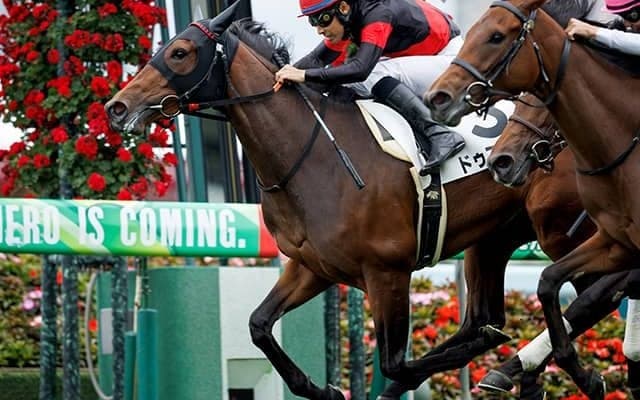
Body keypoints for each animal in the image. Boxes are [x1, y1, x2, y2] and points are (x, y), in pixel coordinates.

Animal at [105, 4, 600, 399]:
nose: (116, 107)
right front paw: (321, 388)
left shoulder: (388, 272)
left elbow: (395, 364)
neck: (313, 156)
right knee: (486, 317)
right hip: (495, 236)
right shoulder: (312, 266)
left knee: (587, 294)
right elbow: (259, 325)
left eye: (180, 52)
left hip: (563, 229)